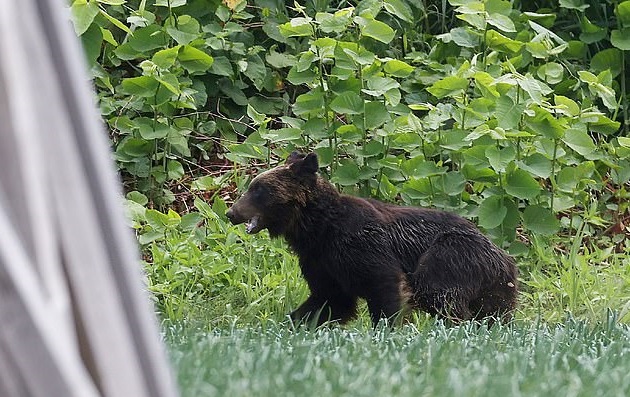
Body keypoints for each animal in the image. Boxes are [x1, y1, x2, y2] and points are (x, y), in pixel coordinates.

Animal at [226, 151, 520, 324]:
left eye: (258, 189)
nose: (231, 212)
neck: (316, 228)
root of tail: (504, 256)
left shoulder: (361, 245)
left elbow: (384, 285)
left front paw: (385, 328)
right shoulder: (321, 261)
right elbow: (328, 300)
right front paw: (293, 322)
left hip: (452, 254)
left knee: (438, 292)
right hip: (495, 287)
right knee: (493, 312)